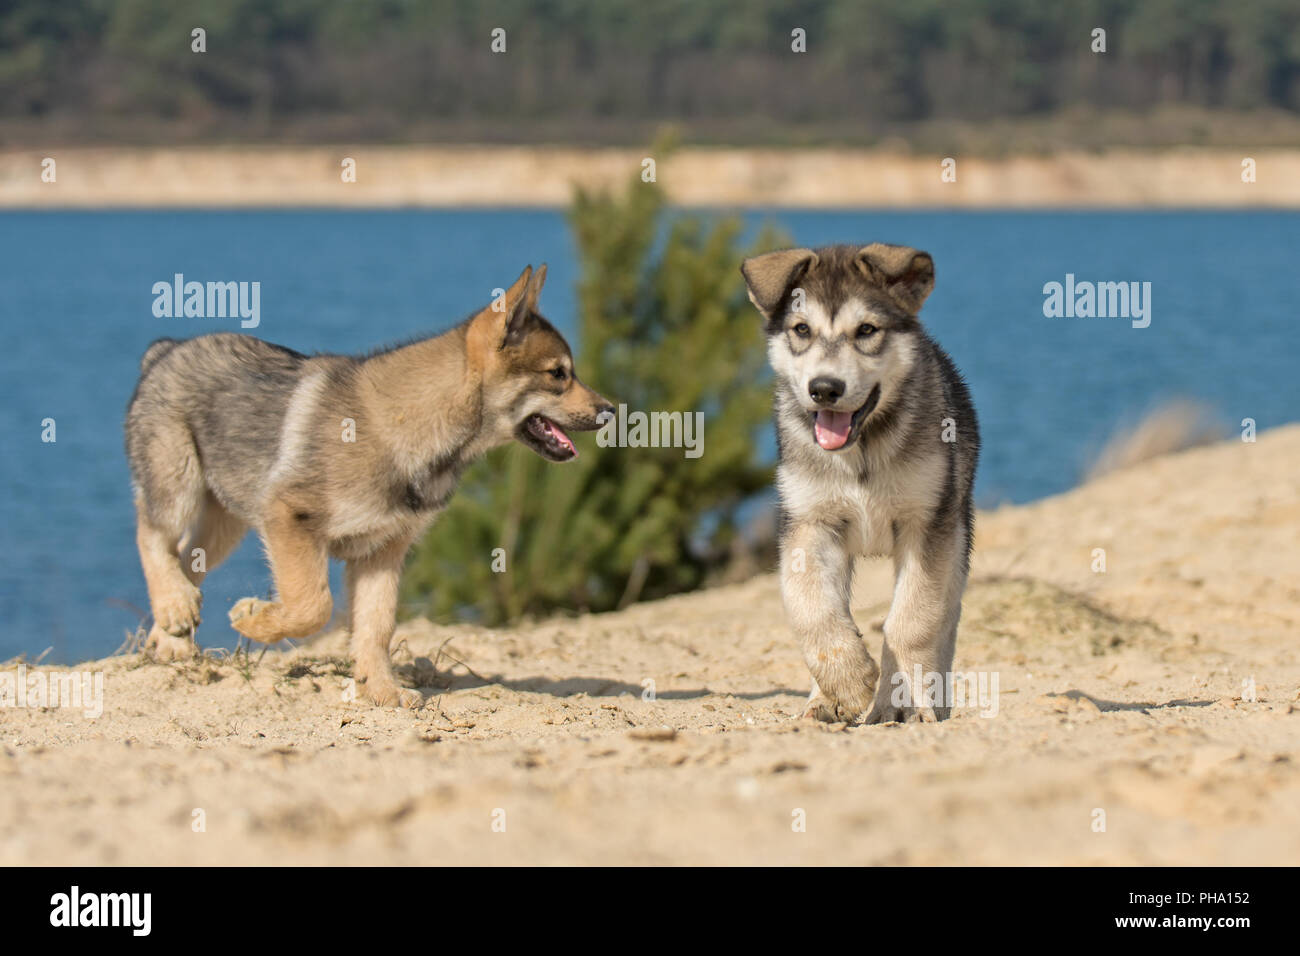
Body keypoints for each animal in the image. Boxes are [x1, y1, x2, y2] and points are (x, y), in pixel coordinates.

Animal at [124, 265, 611, 707]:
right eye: (558, 374)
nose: (609, 412)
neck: (411, 428)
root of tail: (164, 353)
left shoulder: (383, 552)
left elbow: (376, 628)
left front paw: (380, 691)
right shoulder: (290, 518)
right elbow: (312, 606)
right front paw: (253, 618)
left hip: (225, 523)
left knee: (186, 560)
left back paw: (173, 634)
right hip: (180, 488)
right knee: (151, 536)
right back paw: (175, 611)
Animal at [743, 244, 977, 723]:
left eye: (866, 330)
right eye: (801, 329)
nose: (824, 388)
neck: (861, 452)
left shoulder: (926, 524)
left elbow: (911, 621)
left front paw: (902, 704)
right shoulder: (809, 523)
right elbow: (811, 609)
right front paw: (846, 684)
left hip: (959, 536)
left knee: (945, 620)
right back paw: (821, 700)